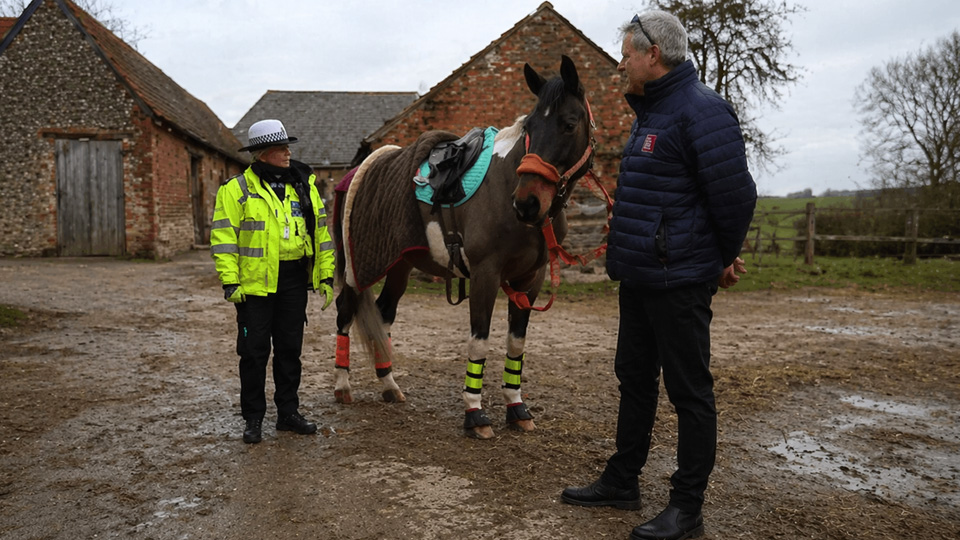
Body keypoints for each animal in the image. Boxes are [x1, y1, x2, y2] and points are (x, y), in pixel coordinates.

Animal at [331, 55, 595, 439]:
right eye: (530, 126)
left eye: (569, 124)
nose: (527, 203)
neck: (505, 187)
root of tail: (354, 173)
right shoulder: (485, 275)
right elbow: (479, 340)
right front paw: (475, 414)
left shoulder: (530, 279)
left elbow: (516, 343)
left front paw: (517, 407)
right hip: (358, 265)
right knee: (346, 312)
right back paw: (343, 386)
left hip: (397, 264)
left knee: (383, 314)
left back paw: (389, 385)